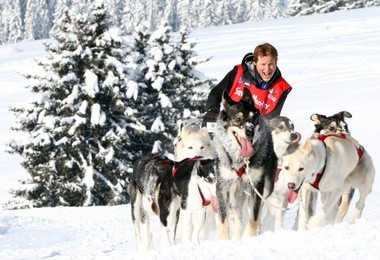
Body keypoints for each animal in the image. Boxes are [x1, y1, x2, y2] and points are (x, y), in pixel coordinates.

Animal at [212, 88, 278, 239]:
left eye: (253, 119)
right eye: (238, 119)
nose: (250, 132)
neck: (240, 160)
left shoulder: (257, 186)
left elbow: (254, 217)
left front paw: (250, 237)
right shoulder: (223, 186)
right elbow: (223, 219)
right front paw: (223, 239)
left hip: (265, 188)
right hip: (235, 193)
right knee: (238, 218)